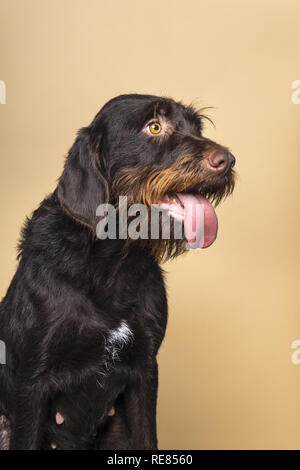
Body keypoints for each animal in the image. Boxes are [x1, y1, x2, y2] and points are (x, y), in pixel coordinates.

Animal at [0, 93, 236, 450]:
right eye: (154, 126)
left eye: (197, 127)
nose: (228, 160)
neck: (111, 261)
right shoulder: (32, 380)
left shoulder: (144, 371)